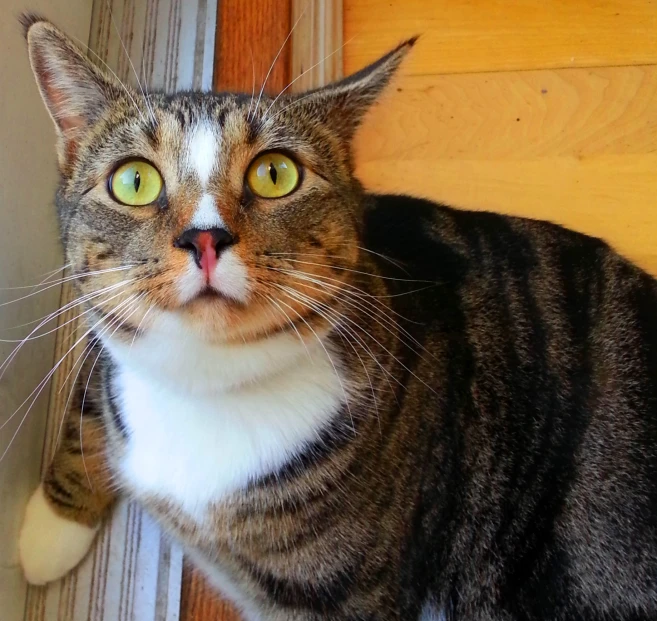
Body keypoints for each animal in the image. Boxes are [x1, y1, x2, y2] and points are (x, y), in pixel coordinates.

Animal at [14, 10, 656, 620]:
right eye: (134, 180)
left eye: (275, 173)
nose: (205, 238)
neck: (207, 388)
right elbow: (91, 381)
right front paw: (50, 531)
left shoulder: (337, 598)